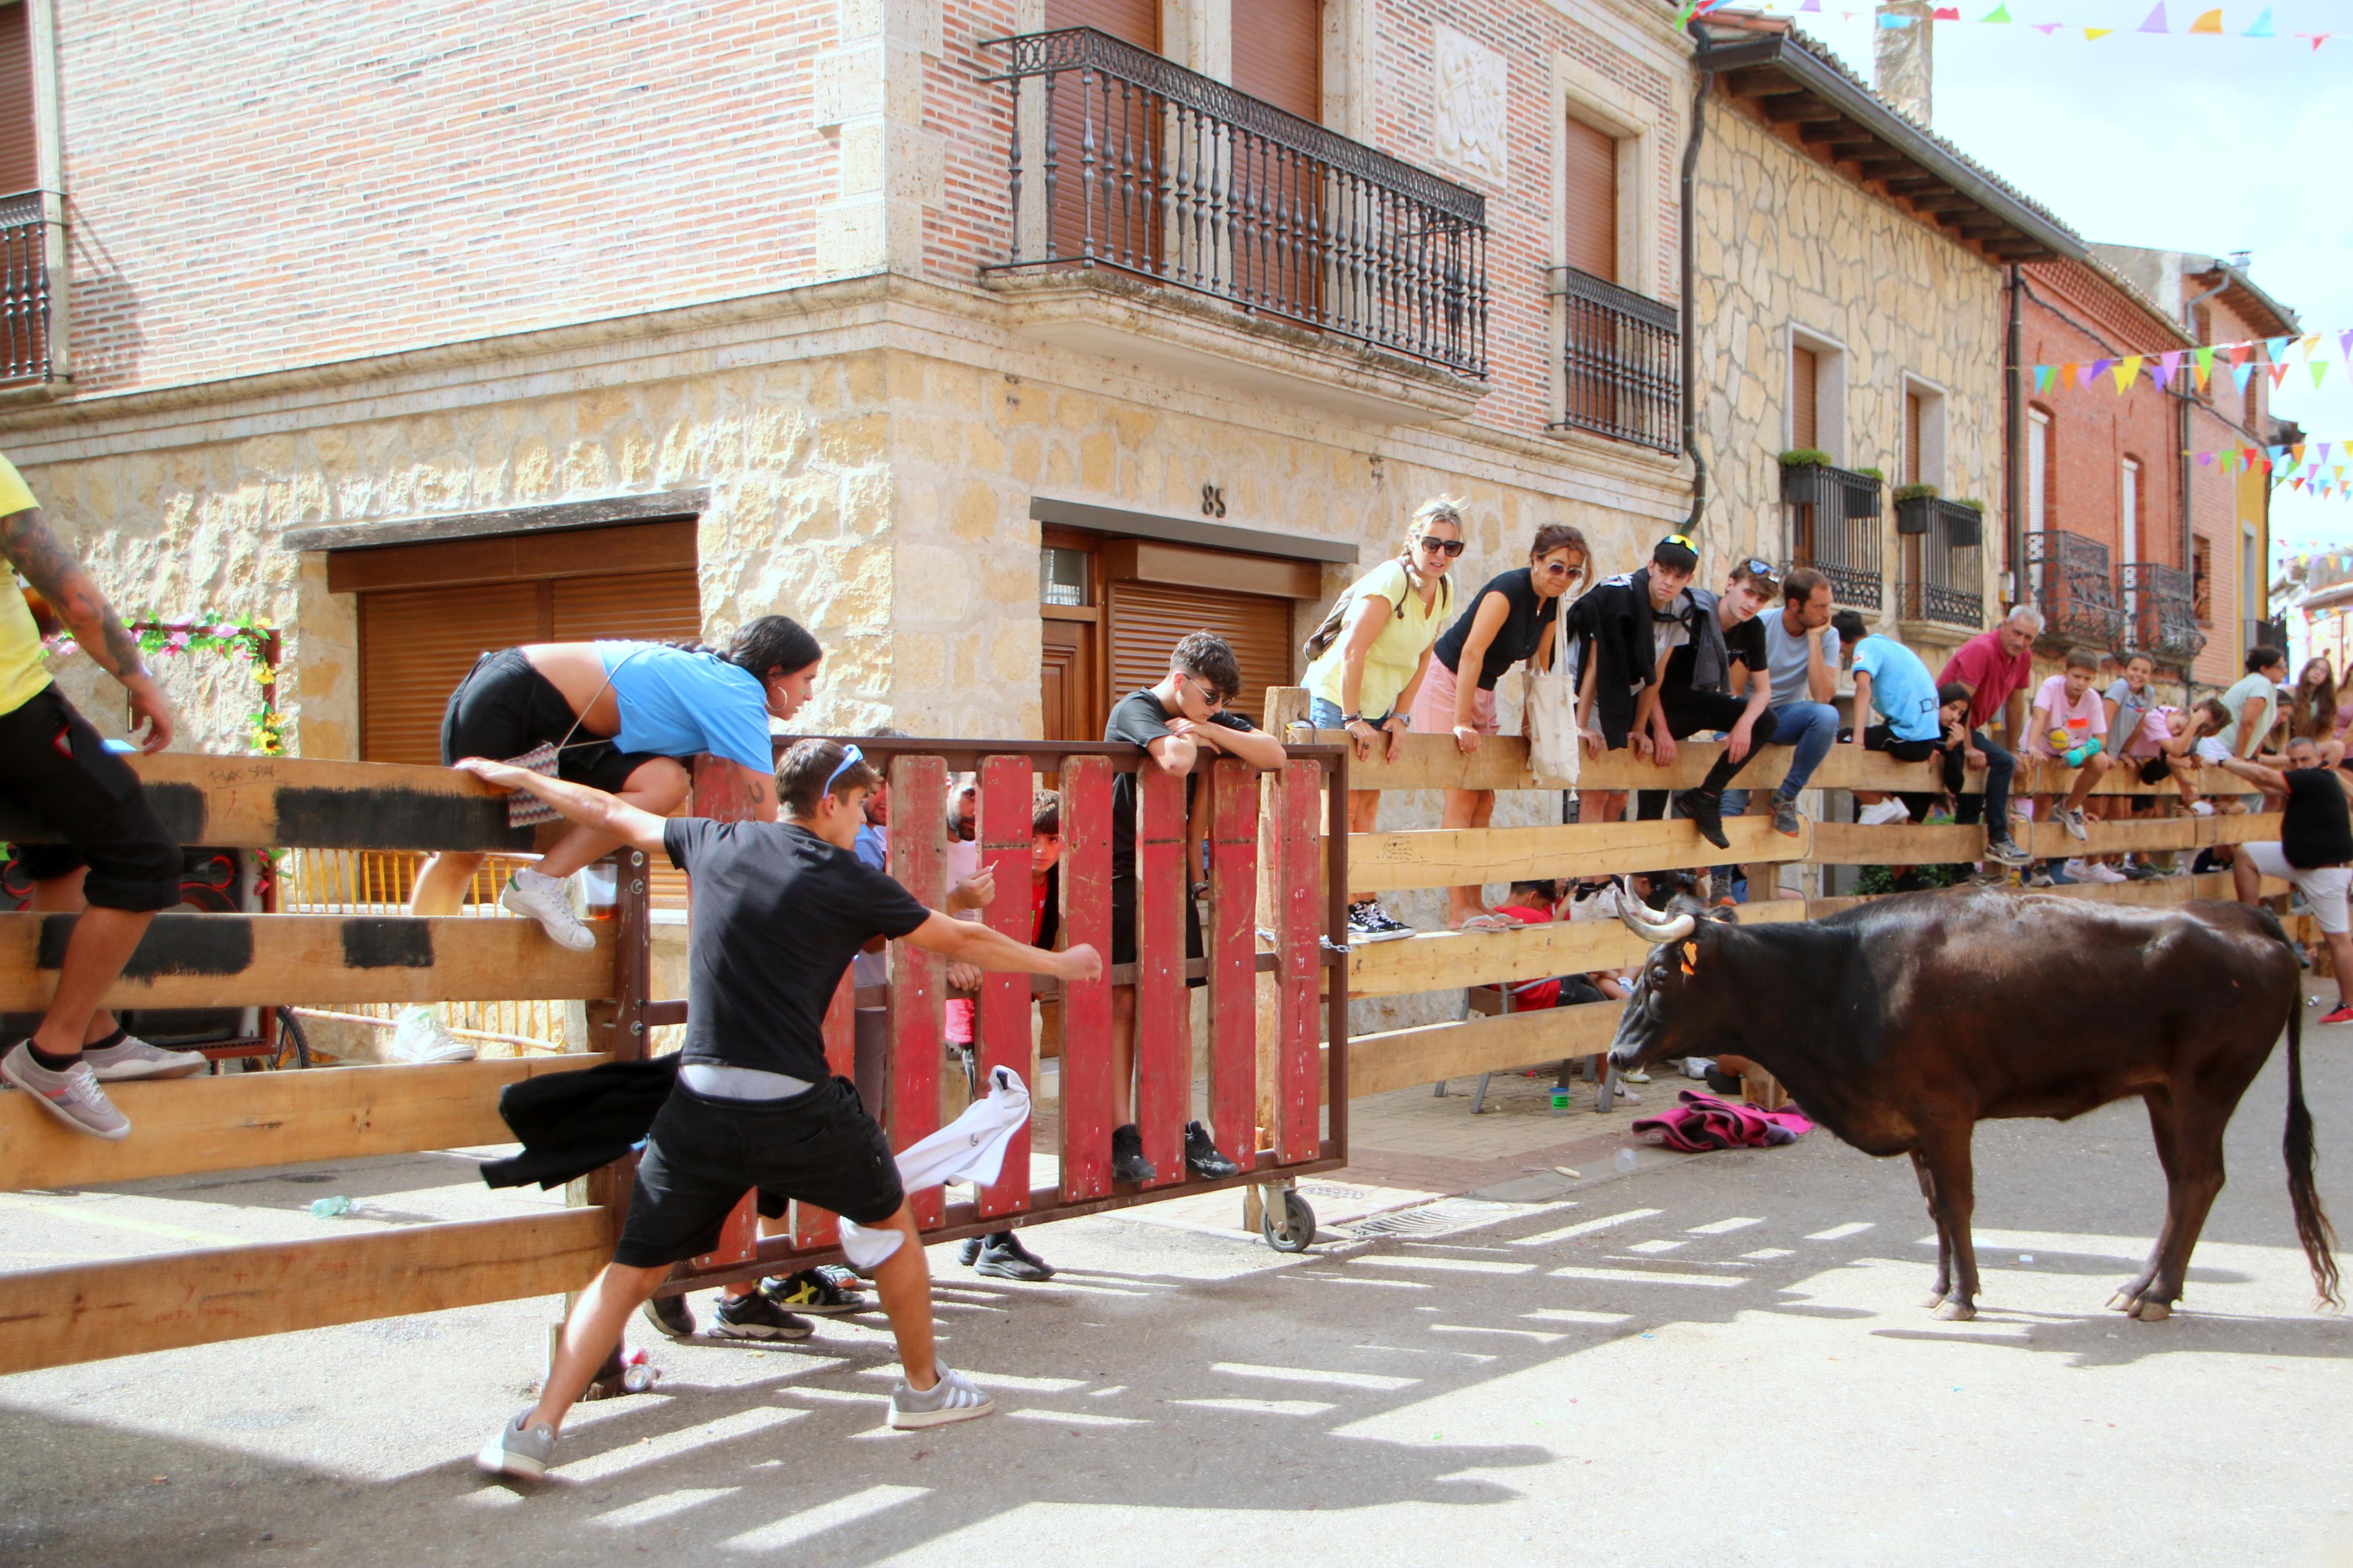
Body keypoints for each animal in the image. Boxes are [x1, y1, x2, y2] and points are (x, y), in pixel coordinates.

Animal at [1600, 888, 2334, 1316]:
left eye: (1658, 974)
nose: (1614, 1054)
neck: (1841, 979)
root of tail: (2244, 915)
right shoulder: (1915, 1122)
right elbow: (1933, 1208)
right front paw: (1940, 1285)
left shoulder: (1944, 1113)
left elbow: (1956, 1203)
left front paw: (1961, 1295)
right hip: (2163, 1093)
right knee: (2183, 1183)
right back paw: (2147, 1287)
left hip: (2203, 1087)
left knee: (2198, 1179)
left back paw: (2151, 1292)